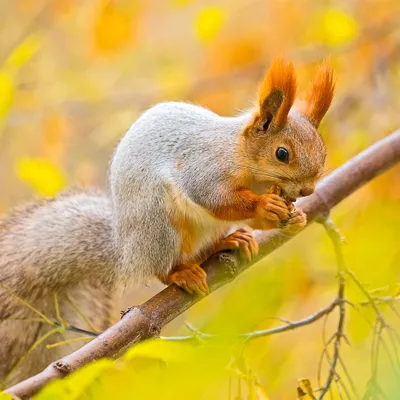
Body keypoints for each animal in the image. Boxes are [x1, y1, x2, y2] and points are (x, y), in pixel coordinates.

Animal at [0, 57, 334, 386]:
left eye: (323, 152)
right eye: (282, 153)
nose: (308, 191)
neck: (247, 165)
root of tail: (127, 251)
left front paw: (296, 217)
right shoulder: (204, 169)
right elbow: (215, 199)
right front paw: (266, 205)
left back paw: (230, 241)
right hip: (159, 223)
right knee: (161, 267)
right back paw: (181, 274)